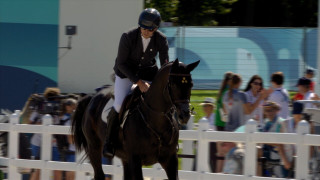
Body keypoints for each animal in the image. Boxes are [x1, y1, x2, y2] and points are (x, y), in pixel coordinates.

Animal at [71, 59, 199, 180]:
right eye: (173, 85)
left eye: (191, 85)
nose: (185, 115)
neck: (155, 119)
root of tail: (92, 97)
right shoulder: (135, 160)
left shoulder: (170, 159)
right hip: (94, 147)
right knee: (99, 174)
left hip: (124, 157)